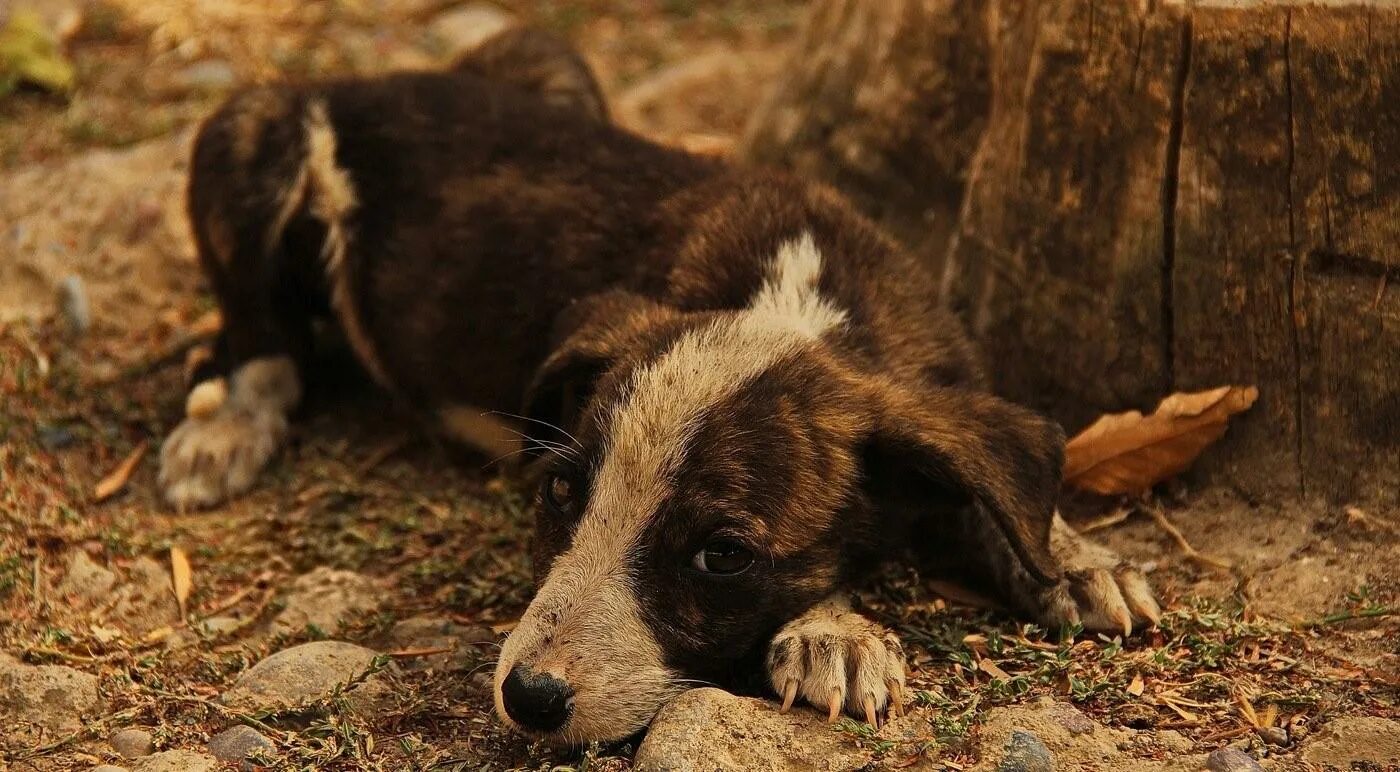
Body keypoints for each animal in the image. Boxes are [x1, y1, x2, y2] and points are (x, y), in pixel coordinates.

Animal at [156, 27, 1159, 745]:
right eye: (561, 492)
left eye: (723, 554)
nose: (530, 698)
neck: (795, 297)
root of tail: (360, 81)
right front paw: (833, 634)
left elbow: (994, 480)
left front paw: (1076, 559)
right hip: (245, 135)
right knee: (258, 331)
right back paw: (227, 424)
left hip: (552, 61)